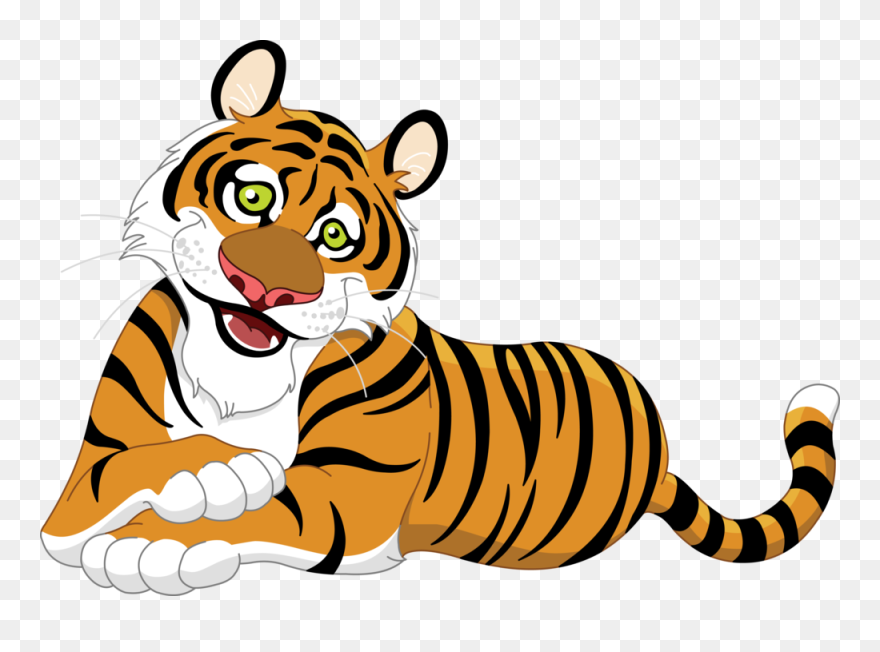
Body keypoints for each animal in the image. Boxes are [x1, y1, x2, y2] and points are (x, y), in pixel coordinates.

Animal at [41, 40, 839, 595]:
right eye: (254, 197)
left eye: (335, 235)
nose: (266, 289)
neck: (238, 386)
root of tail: (660, 457)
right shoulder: (83, 479)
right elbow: (110, 481)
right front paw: (211, 468)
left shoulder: (345, 496)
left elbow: (257, 510)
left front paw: (153, 542)